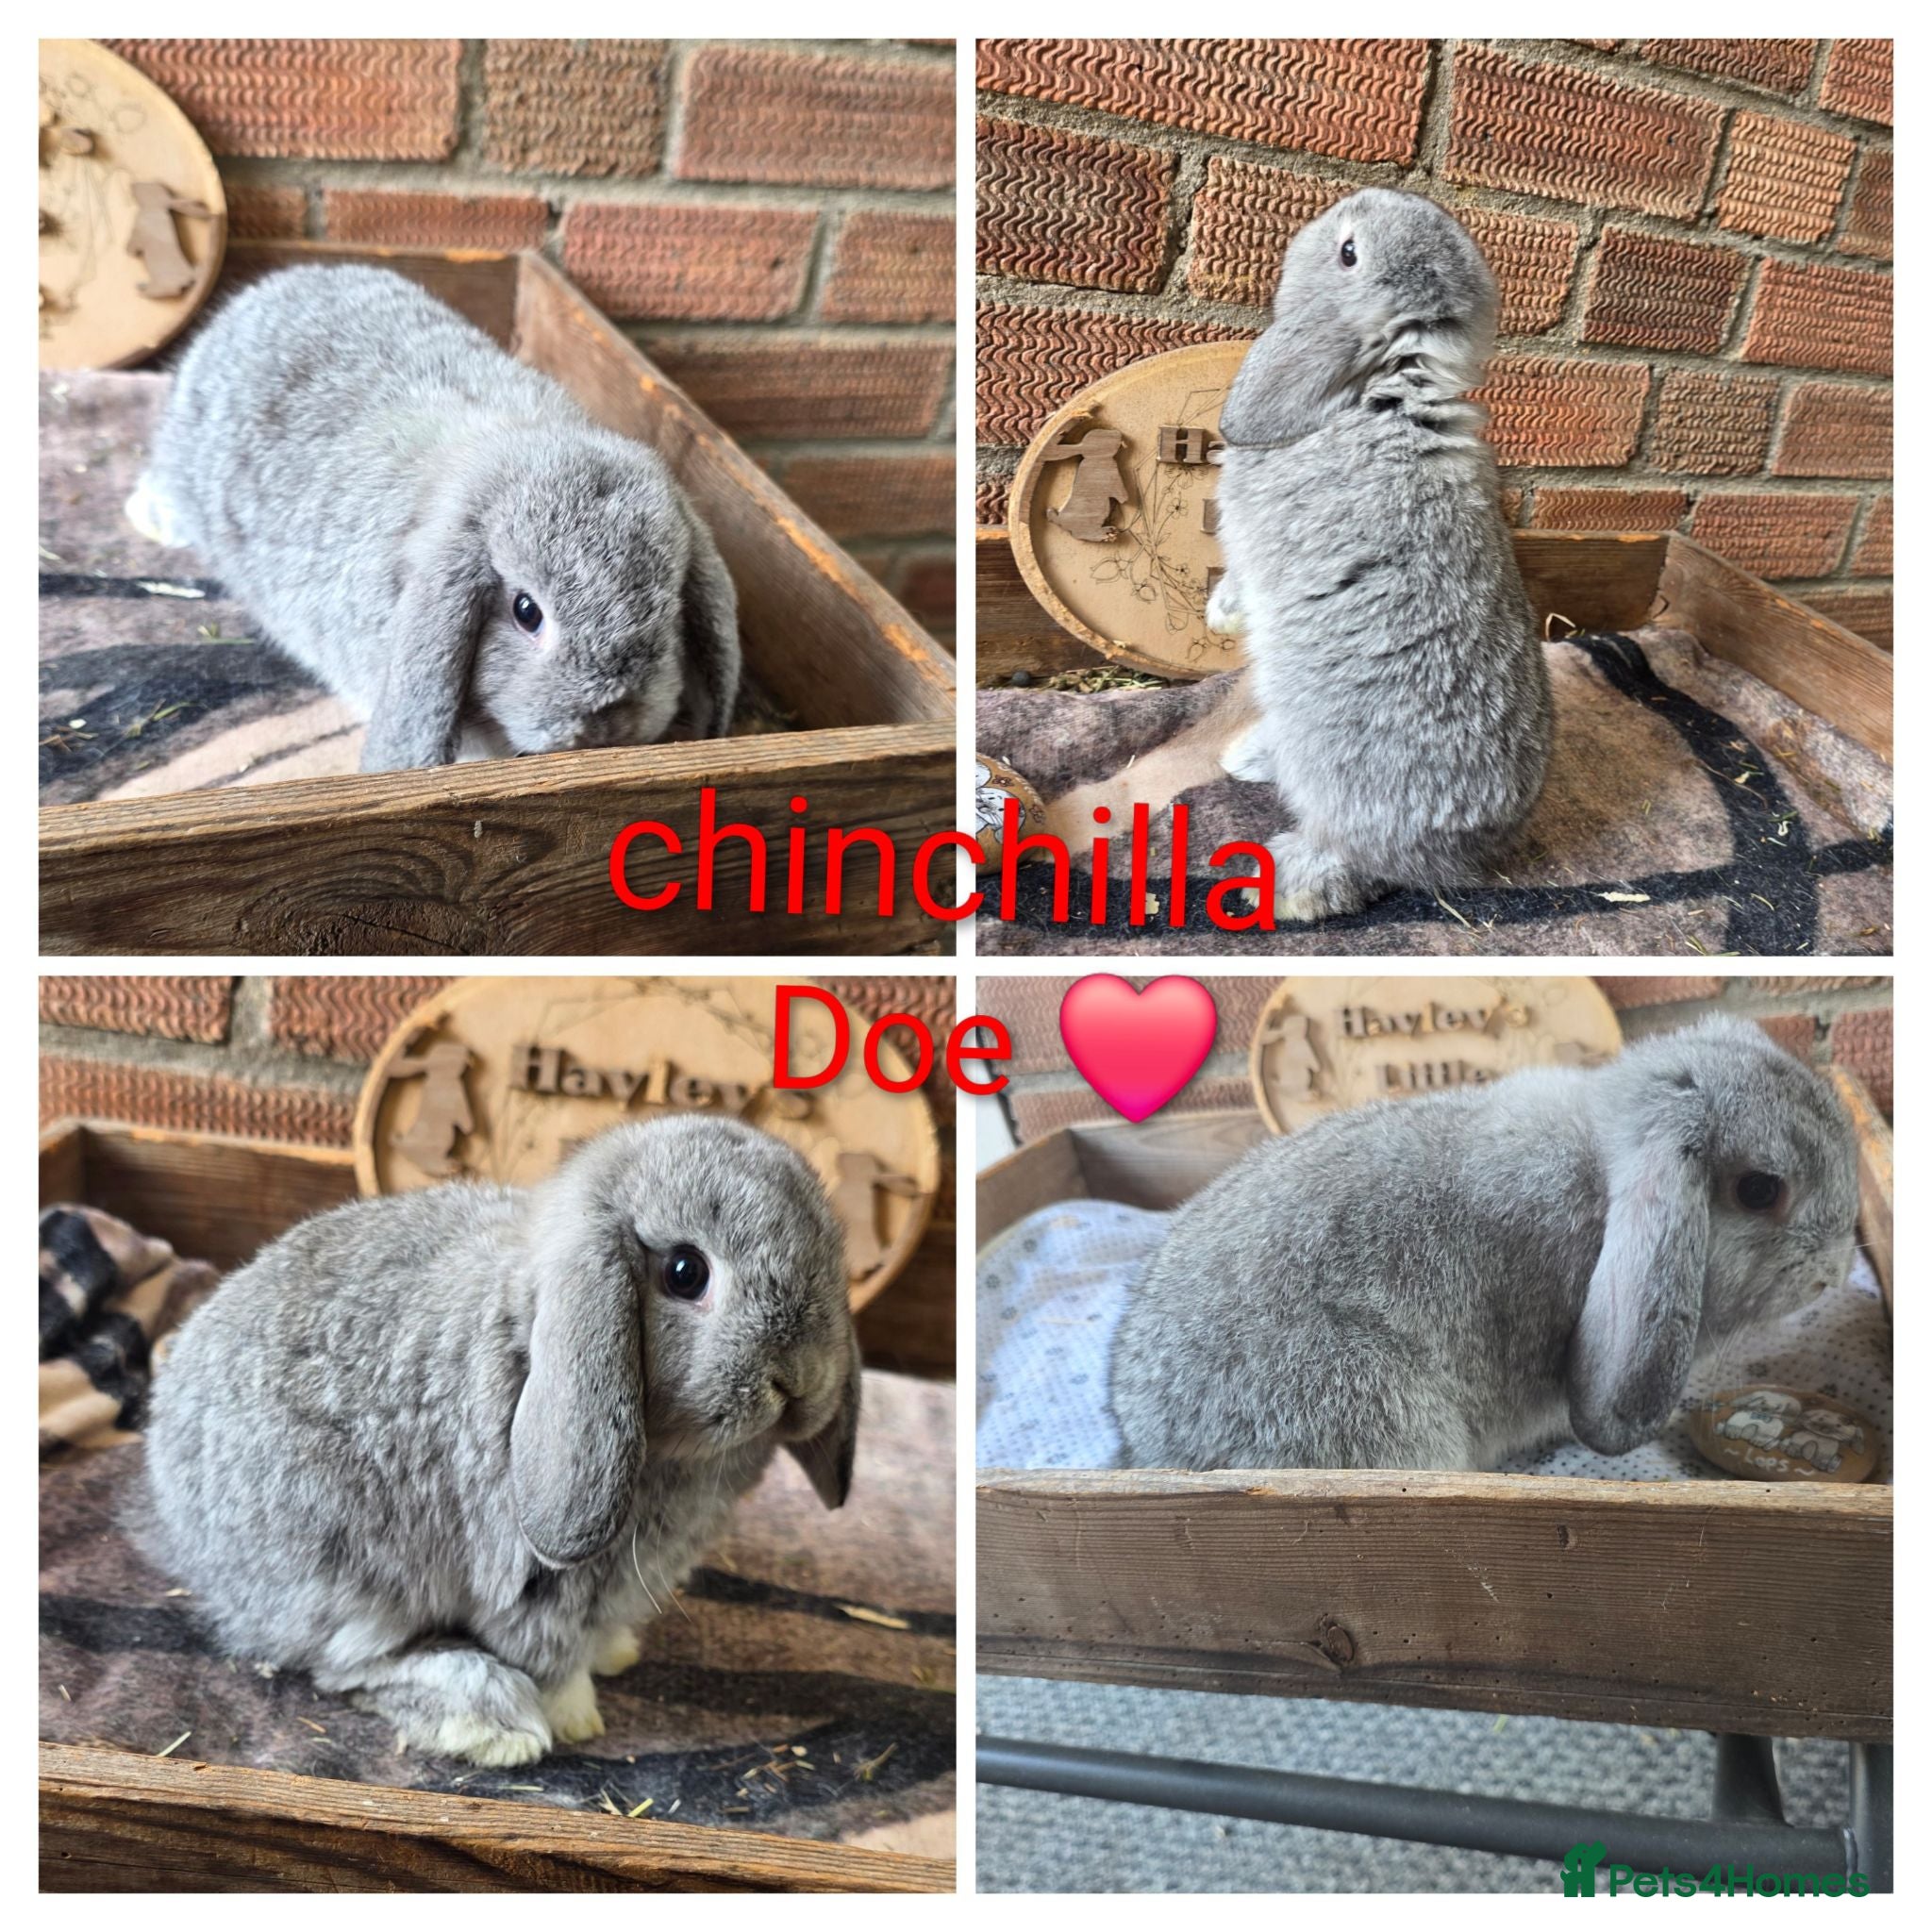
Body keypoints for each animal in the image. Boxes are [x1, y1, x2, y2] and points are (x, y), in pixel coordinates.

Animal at [140, 1114, 858, 1766]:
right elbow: (551, 1659)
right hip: (347, 1569)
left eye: (830, 1253)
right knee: (347, 1666)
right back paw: (492, 1723)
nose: (800, 1379)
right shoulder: (535, 1585)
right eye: (686, 1272)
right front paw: (577, 1720)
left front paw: (616, 1652)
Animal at [1208, 187, 1552, 922]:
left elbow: (1244, 580)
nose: (1354, 197)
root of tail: (1464, 855)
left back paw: (1276, 882)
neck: (1380, 393)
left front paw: (1221, 615)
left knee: (1348, 860)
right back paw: (1243, 758)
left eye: (1348, 252)